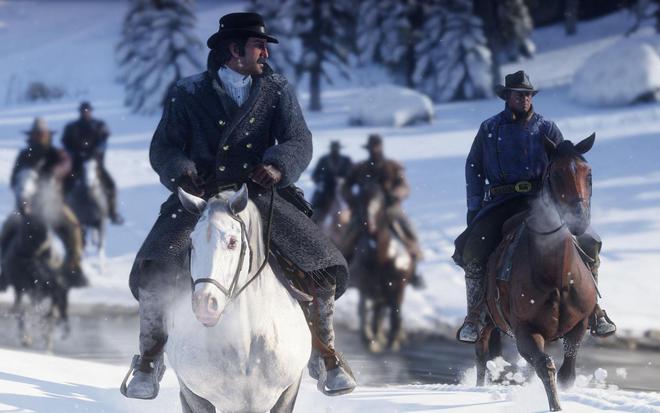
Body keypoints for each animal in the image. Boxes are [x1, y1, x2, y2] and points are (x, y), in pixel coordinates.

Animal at [1, 167, 71, 348]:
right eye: (16, 182)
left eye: (35, 180)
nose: (23, 204)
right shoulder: (22, 286)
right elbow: (23, 311)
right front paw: (27, 338)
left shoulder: (52, 287)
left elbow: (51, 314)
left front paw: (47, 340)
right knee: (24, 309)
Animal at [168, 184, 312, 412]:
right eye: (192, 242)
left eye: (232, 242)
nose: (204, 304)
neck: (244, 348)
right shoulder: (195, 395)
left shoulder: (288, 391)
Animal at [350, 180, 412, 350]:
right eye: (360, 200)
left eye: (380, 200)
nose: (368, 224)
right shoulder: (365, 286)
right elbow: (363, 309)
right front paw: (370, 339)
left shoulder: (398, 289)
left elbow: (395, 313)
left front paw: (393, 341)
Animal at [476, 134, 600, 410]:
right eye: (556, 174)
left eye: (588, 173)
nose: (578, 219)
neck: (558, 277)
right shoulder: (525, 332)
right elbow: (545, 366)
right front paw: (556, 405)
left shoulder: (579, 325)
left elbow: (567, 373)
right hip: (487, 320)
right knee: (481, 352)